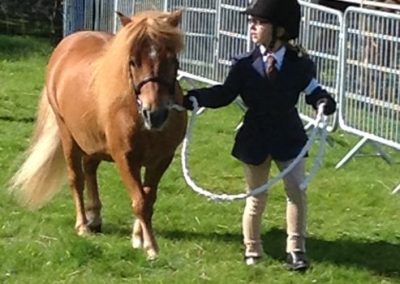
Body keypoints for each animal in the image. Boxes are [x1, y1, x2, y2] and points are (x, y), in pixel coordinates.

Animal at [9, 10, 188, 258]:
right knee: (77, 179)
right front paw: (151, 247)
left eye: (172, 60)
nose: (155, 114)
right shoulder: (125, 159)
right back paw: (83, 225)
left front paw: (138, 237)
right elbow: (140, 201)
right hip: (67, 135)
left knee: (90, 169)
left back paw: (94, 218)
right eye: (132, 61)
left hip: (91, 140)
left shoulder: (161, 159)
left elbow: (148, 197)